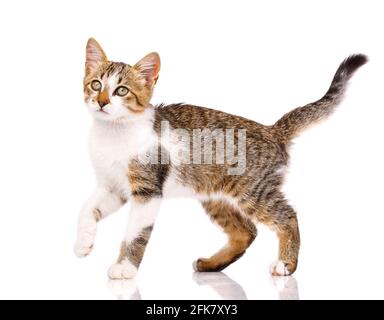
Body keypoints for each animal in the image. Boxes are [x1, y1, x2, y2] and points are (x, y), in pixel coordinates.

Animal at [74, 37, 366, 278]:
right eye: (96, 85)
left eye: (121, 91)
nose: (102, 102)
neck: (113, 133)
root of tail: (272, 130)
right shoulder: (113, 187)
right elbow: (87, 209)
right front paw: (83, 242)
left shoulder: (147, 191)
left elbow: (135, 233)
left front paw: (124, 268)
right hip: (216, 197)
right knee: (246, 232)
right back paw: (211, 264)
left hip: (254, 191)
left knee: (287, 216)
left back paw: (286, 263)